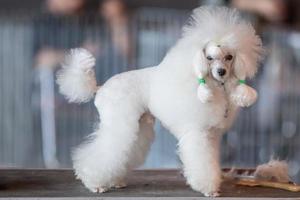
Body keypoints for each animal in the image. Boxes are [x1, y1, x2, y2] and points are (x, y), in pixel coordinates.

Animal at [56, 5, 262, 197]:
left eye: (229, 57)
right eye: (209, 58)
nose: (221, 72)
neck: (213, 87)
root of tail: (100, 88)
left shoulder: (212, 136)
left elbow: (211, 160)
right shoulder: (197, 133)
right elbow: (202, 163)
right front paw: (209, 189)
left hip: (138, 125)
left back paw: (115, 181)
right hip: (119, 123)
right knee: (101, 152)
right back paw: (95, 184)